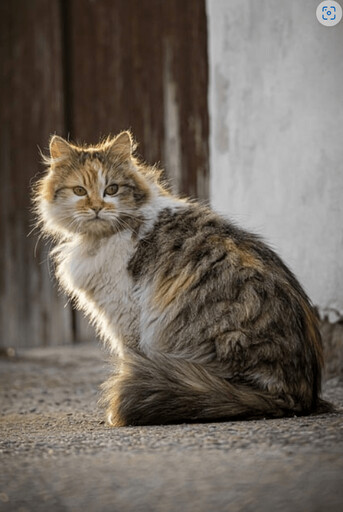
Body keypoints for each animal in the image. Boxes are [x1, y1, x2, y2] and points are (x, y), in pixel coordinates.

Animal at [33, 131, 334, 424]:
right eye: (79, 191)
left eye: (112, 189)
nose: (97, 208)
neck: (99, 239)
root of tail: (299, 397)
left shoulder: (126, 315)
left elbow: (130, 356)